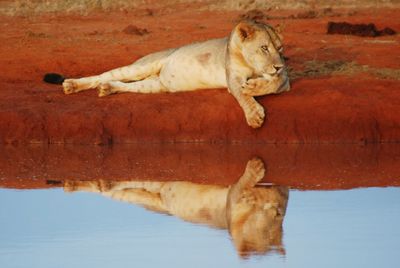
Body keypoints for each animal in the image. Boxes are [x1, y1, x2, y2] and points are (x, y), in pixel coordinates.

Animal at [47, 21, 290, 127]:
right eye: (264, 48)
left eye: (280, 49)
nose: (278, 65)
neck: (254, 66)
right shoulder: (232, 77)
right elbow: (242, 94)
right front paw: (254, 114)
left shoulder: (284, 78)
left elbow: (274, 82)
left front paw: (257, 86)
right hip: (141, 66)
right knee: (104, 75)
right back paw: (72, 85)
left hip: (153, 85)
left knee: (123, 84)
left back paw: (107, 89)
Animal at [61, 157, 288, 258]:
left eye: (279, 213)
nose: (276, 209)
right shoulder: (231, 200)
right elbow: (243, 183)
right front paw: (255, 170)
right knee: (111, 186)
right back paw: (81, 184)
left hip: (153, 188)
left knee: (112, 187)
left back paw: (83, 183)